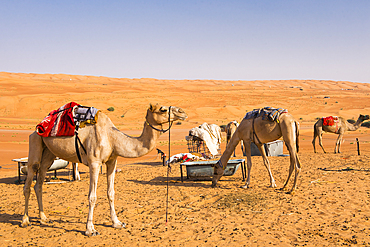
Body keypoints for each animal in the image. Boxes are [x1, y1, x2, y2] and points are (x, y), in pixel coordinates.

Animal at [21, 103, 186, 236]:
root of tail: (38, 126)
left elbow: (111, 193)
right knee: (29, 179)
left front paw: (117, 223)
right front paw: (90, 229)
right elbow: (92, 196)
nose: (182, 112)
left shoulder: (112, 161)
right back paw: (25, 220)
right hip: (35, 141)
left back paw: (44, 219)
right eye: (163, 109)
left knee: (39, 181)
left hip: (49, 153)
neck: (113, 138)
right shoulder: (94, 162)